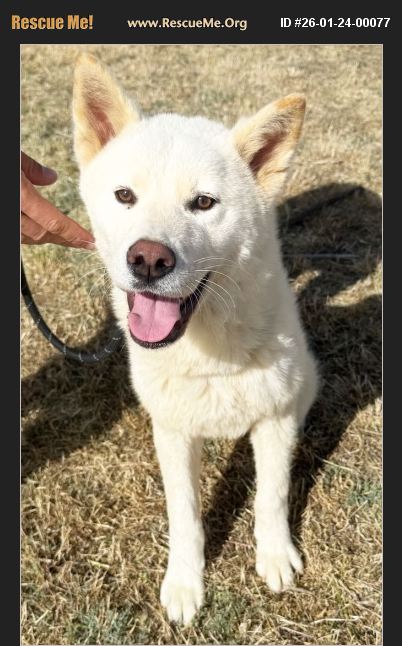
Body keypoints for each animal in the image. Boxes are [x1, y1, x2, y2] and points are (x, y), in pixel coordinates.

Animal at [72, 54, 318, 625]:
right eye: (125, 196)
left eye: (203, 203)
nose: (148, 260)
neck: (210, 355)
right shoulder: (174, 432)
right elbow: (184, 516)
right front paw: (185, 585)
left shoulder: (274, 420)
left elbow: (271, 497)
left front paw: (275, 557)